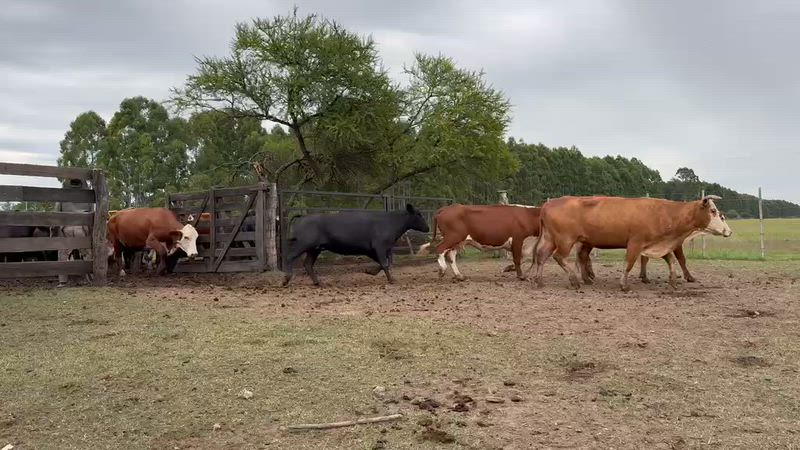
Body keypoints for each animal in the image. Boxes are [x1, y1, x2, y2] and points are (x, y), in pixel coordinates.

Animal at [281, 204, 429, 286]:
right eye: (418, 214)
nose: (428, 228)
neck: (391, 222)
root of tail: (302, 217)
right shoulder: (380, 246)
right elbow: (385, 263)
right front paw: (391, 279)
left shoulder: (373, 250)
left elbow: (383, 263)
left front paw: (369, 271)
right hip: (303, 243)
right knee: (289, 257)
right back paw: (286, 279)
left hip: (314, 249)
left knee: (308, 264)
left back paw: (318, 282)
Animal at [531, 195, 732, 291]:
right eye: (713, 211)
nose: (728, 231)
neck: (664, 213)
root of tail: (549, 203)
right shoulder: (635, 243)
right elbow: (629, 263)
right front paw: (624, 285)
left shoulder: (659, 244)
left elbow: (671, 260)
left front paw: (673, 281)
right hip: (565, 240)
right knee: (559, 257)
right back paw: (574, 280)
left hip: (550, 238)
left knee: (542, 256)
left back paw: (540, 281)